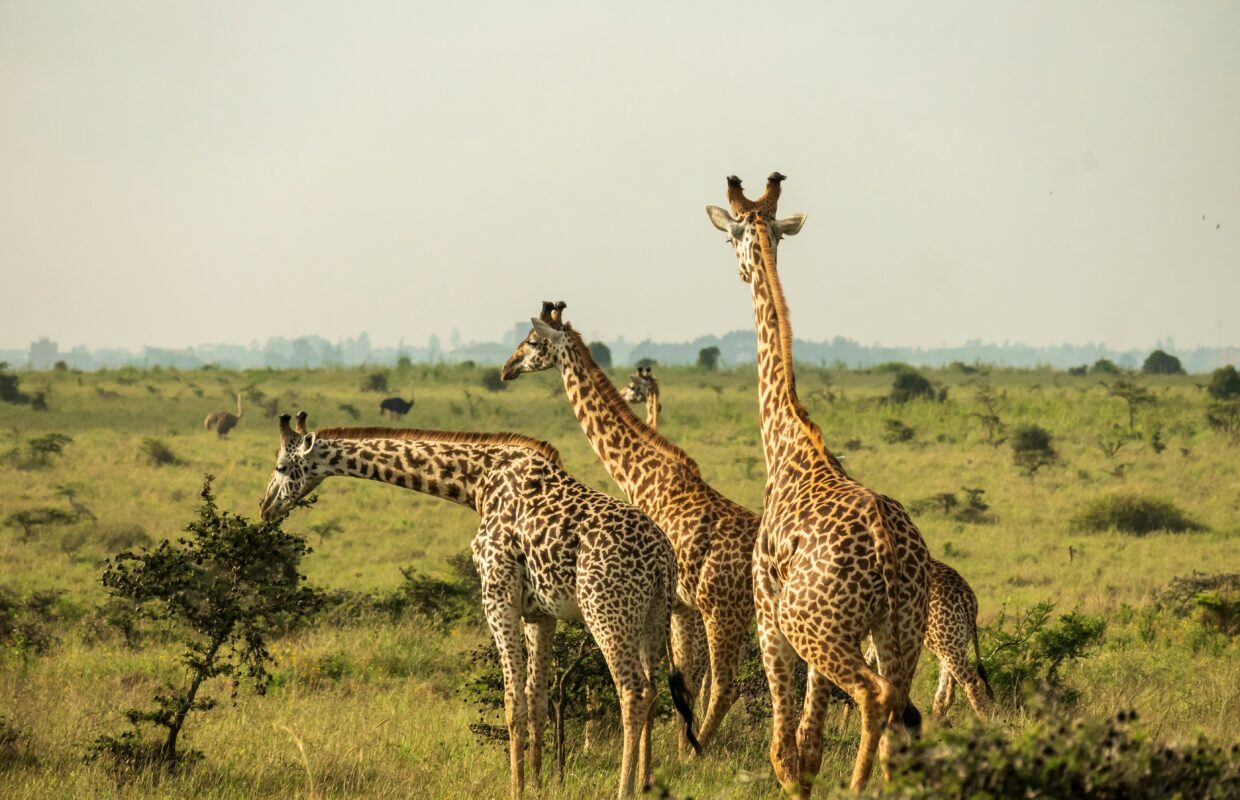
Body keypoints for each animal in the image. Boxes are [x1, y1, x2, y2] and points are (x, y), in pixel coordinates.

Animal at [258, 413, 698, 798]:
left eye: (281, 466)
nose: (265, 507)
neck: (477, 483)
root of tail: (663, 556)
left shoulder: (496, 595)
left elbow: (512, 700)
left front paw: (515, 789)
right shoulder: (539, 613)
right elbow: (537, 699)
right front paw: (538, 785)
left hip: (606, 609)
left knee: (633, 691)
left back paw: (623, 789)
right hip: (653, 615)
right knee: (653, 690)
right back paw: (645, 782)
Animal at [501, 302, 758, 753]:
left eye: (531, 341)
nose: (506, 369)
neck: (640, 476)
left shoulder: (677, 603)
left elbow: (682, 680)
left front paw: (676, 752)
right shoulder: (679, 605)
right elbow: (681, 680)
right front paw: (674, 747)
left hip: (724, 612)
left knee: (727, 684)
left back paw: (700, 754)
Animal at [706, 173, 932, 795]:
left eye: (729, 236)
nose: (739, 271)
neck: (786, 445)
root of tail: (886, 545)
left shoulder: (769, 617)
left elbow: (786, 750)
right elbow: (809, 744)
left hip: (819, 628)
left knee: (874, 698)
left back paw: (855, 788)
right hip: (900, 628)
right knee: (901, 716)